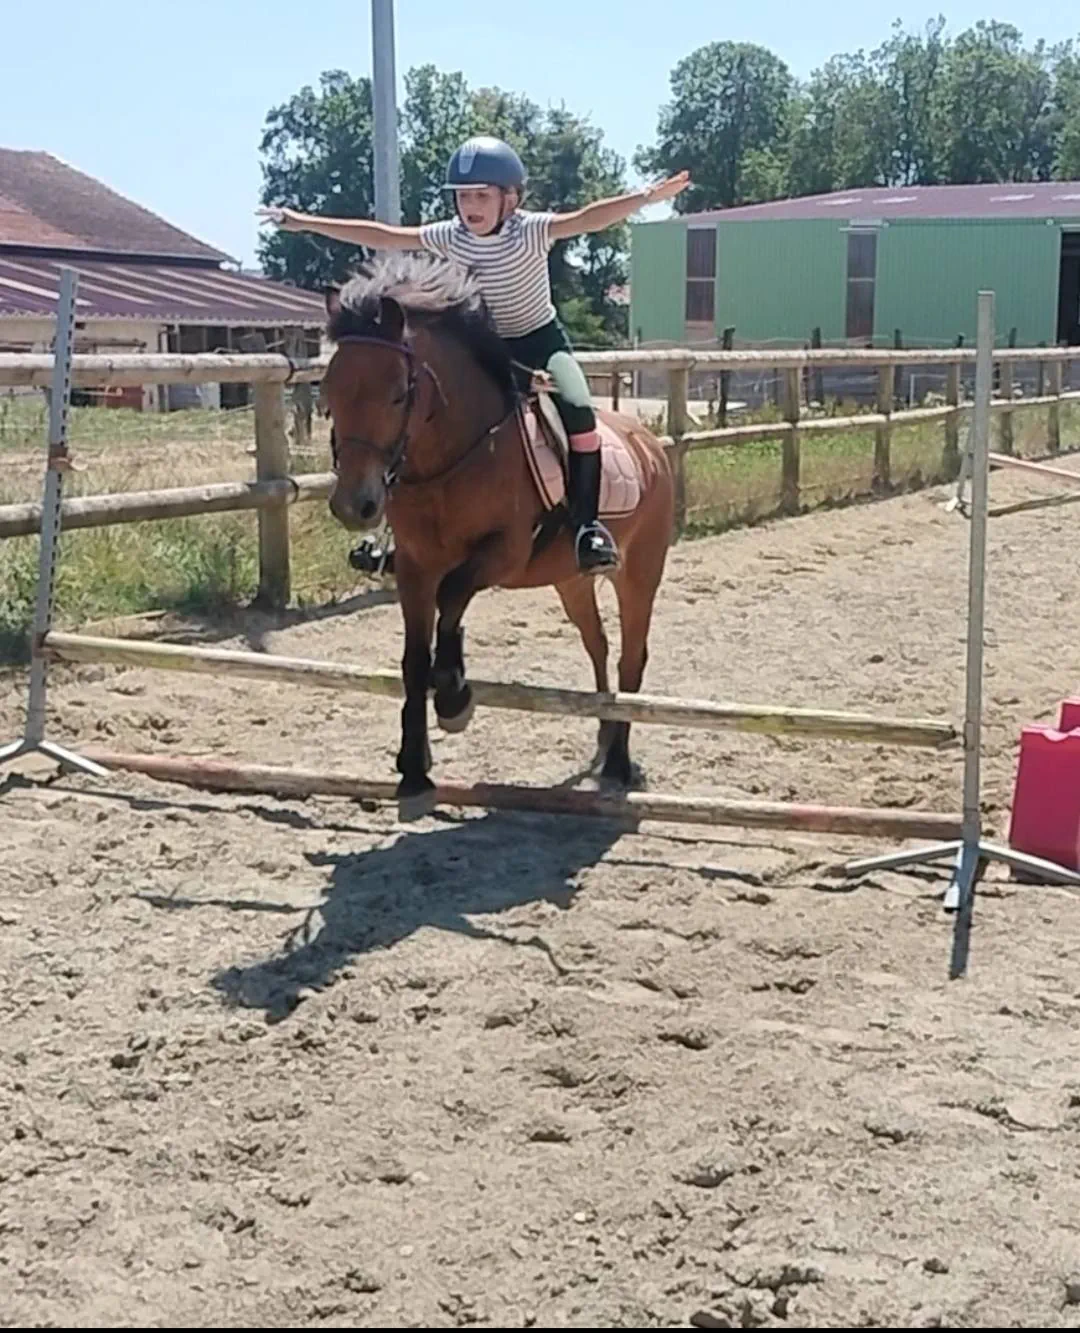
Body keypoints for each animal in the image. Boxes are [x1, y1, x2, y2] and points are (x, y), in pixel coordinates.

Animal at [321, 252, 675, 820]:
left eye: (398, 393)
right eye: (328, 391)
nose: (355, 505)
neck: (452, 456)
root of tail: (648, 443)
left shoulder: (503, 553)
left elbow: (452, 599)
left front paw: (454, 695)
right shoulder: (415, 567)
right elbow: (414, 660)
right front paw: (414, 770)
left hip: (640, 573)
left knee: (631, 658)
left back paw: (619, 762)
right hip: (570, 580)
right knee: (597, 645)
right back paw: (603, 739)